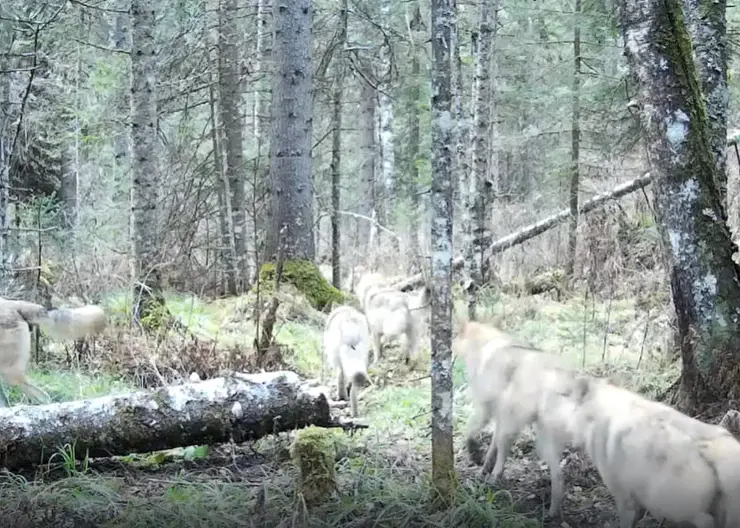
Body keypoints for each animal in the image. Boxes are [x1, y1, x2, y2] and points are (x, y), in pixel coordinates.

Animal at [450, 320, 584, 516]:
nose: (451, 348)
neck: (483, 343)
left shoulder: (485, 408)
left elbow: (471, 432)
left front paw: (475, 454)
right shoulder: (498, 415)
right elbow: (491, 447)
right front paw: (483, 466)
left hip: (513, 425)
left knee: (503, 457)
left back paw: (494, 479)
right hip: (545, 439)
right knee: (558, 476)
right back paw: (552, 513)